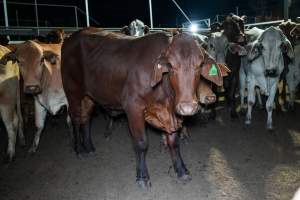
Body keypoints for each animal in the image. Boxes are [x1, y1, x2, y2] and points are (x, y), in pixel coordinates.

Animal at [61, 28, 224, 188]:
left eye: (200, 65)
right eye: (171, 65)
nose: (187, 107)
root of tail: (72, 36)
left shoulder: (172, 114)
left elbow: (174, 142)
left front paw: (181, 170)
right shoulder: (133, 107)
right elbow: (141, 143)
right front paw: (142, 177)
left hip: (89, 96)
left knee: (86, 118)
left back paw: (89, 147)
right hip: (72, 92)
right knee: (76, 119)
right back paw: (79, 150)